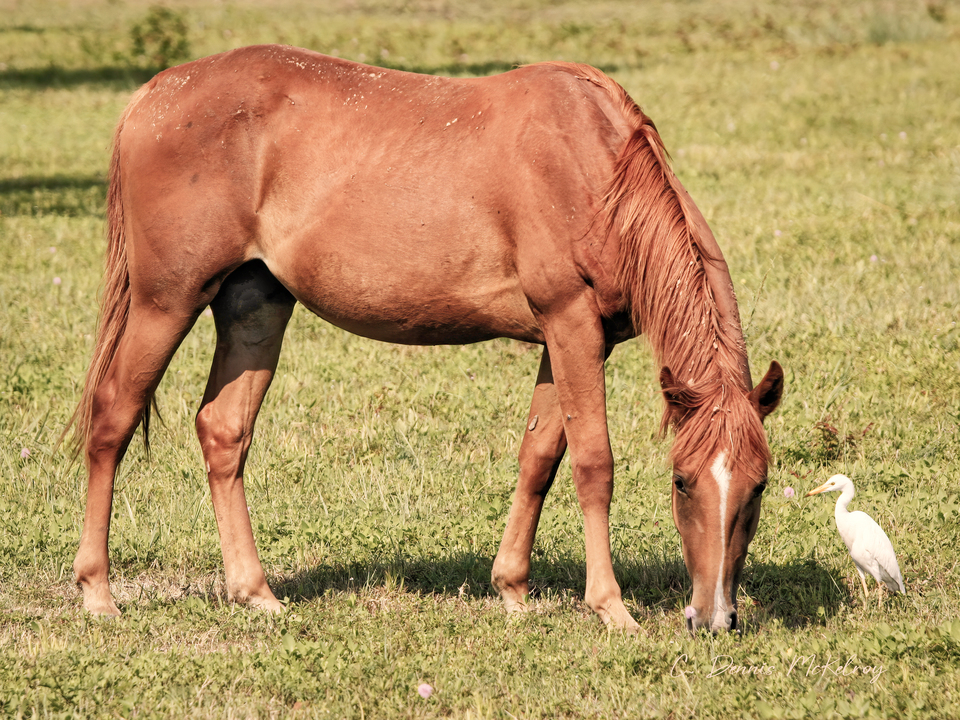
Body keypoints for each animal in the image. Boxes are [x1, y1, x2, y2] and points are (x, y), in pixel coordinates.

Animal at [66, 45, 783, 633]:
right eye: (683, 482)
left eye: (758, 487)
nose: (714, 619)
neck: (595, 170)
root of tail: (154, 94)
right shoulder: (570, 322)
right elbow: (592, 464)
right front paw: (610, 608)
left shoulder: (574, 339)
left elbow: (538, 459)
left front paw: (512, 589)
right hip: (165, 304)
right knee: (113, 418)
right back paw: (98, 593)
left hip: (255, 305)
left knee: (222, 432)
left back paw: (256, 592)